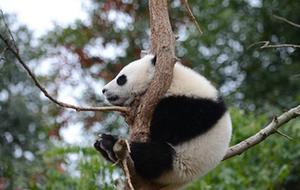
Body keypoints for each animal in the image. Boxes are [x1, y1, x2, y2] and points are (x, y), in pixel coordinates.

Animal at [94, 54, 232, 189]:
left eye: (121, 79)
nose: (104, 90)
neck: (174, 82)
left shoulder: (191, 105)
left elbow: (171, 126)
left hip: (179, 164)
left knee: (153, 155)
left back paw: (109, 142)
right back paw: (101, 145)